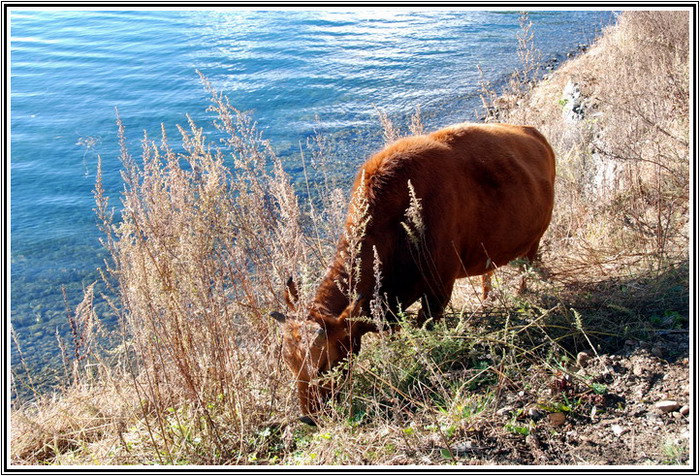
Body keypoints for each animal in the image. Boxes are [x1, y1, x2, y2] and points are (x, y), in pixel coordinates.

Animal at [270, 122, 556, 420]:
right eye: (289, 363)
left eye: (327, 363)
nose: (308, 417)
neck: (397, 223)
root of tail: (531, 131)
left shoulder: (439, 290)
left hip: (535, 239)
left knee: (527, 269)